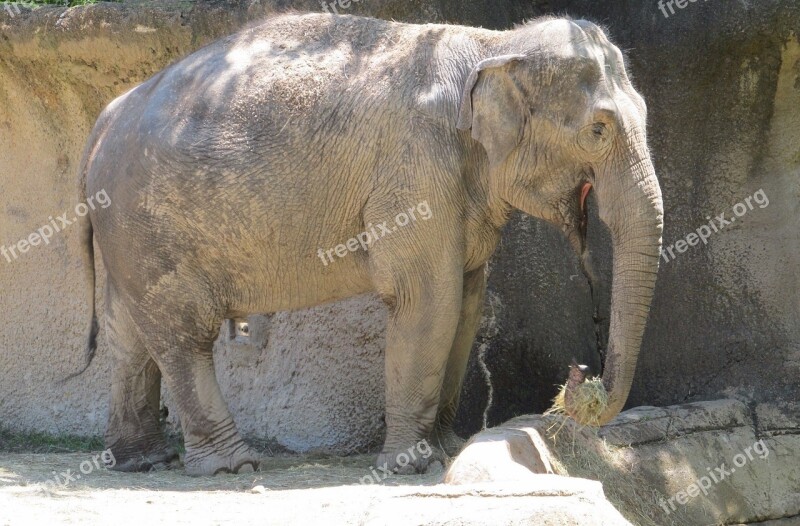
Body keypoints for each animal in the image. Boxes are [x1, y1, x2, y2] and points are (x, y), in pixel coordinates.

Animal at [73, 12, 664, 476]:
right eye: (598, 131)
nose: (578, 376)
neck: (491, 45)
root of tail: (102, 121)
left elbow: (467, 302)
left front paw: (447, 447)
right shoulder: (414, 173)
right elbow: (429, 300)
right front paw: (411, 465)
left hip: (128, 233)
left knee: (130, 333)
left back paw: (143, 461)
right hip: (150, 224)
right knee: (181, 332)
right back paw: (230, 466)